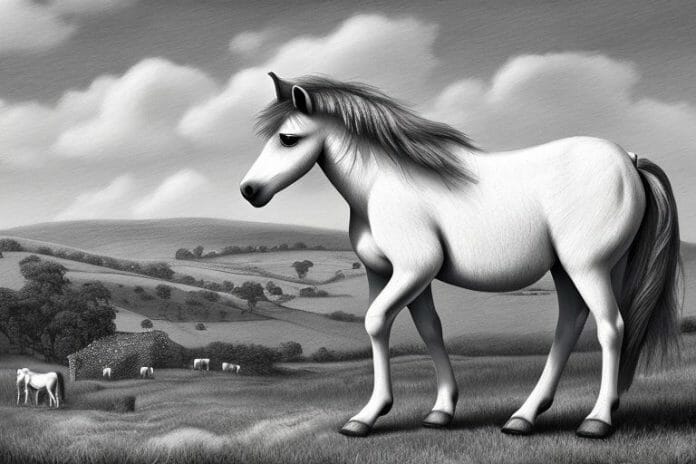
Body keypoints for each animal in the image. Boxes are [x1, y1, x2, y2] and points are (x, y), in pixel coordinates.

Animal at [241, 73, 682, 439]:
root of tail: (629, 160)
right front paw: (441, 411)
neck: (382, 185)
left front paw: (367, 417)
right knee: (569, 326)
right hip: (576, 269)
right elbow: (429, 329)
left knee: (611, 328)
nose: (249, 190)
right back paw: (524, 417)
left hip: (587, 267)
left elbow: (376, 323)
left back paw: (596, 421)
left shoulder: (413, 269)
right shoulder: (389, 274)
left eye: (288, 138)